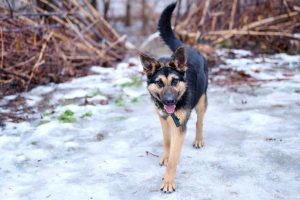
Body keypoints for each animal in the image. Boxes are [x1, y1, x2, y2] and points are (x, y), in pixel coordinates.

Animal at [139, 1, 207, 192]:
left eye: (175, 81)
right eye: (160, 83)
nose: (169, 101)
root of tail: (189, 48)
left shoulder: (179, 127)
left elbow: (174, 159)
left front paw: (168, 181)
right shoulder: (163, 119)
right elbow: (167, 140)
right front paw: (165, 156)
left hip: (201, 102)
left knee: (199, 121)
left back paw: (198, 139)